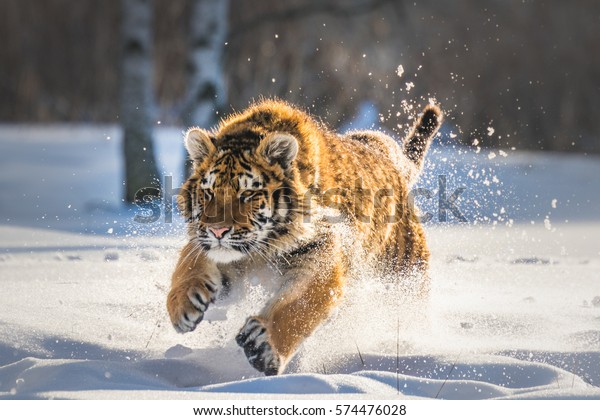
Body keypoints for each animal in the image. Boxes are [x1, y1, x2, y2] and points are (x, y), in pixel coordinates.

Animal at [166, 100, 442, 376]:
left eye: (247, 194)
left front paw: (263, 346)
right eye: (208, 192)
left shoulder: (320, 255)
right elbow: (189, 262)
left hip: (405, 278)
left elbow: (299, 305)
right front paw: (182, 304)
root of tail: (391, 160)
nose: (218, 231)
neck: (262, 247)